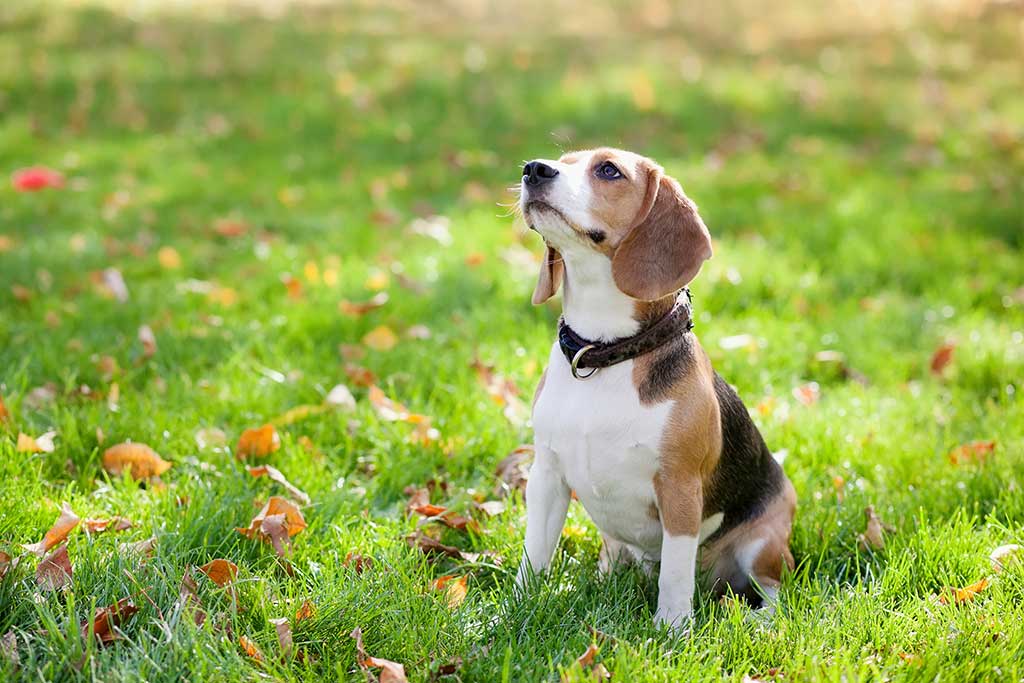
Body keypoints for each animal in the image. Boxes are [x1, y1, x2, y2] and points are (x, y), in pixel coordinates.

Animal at [516, 148, 794, 630]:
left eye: (609, 170)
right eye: (562, 160)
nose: (534, 169)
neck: (604, 352)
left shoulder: (679, 488)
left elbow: (676, 575)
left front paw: (672, 631)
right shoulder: (547, 476)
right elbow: (533, 556)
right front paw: (509, 613)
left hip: (765, 541)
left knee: (772, 588)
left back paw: (760, 622)